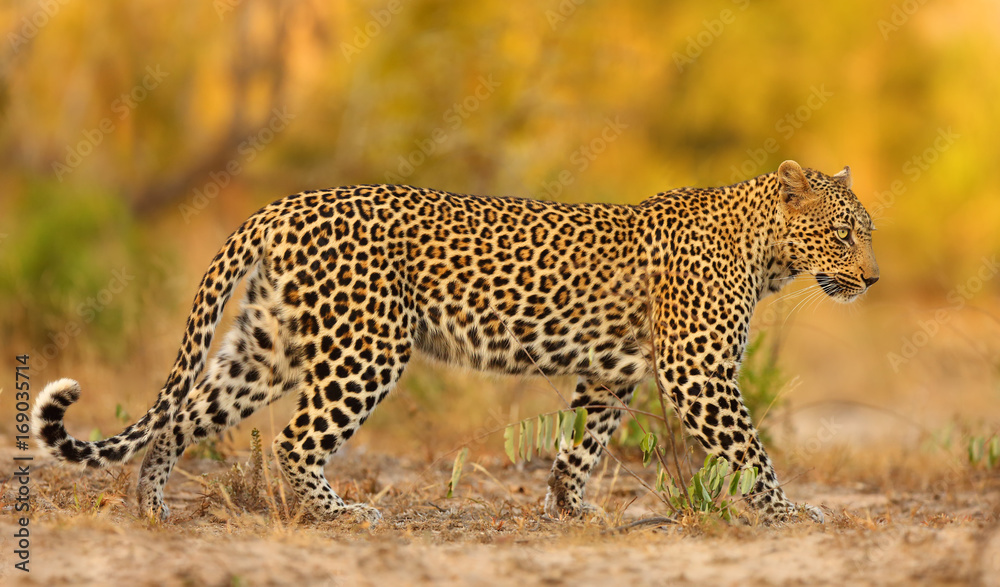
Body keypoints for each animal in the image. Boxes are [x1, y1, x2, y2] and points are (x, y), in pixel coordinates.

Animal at [33, 159, 878, 525]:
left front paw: (570, 510)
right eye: (845, 233)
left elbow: (580, 446)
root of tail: (282, 206)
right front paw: (792, 511)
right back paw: (343, 514)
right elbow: (752, 452)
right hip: (366, 346)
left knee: (180, 415)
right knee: (295, 438)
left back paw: (149, 505)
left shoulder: (611, 374)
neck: (766, 253)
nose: (872, 278)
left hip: (267, 344)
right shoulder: (698, 372)